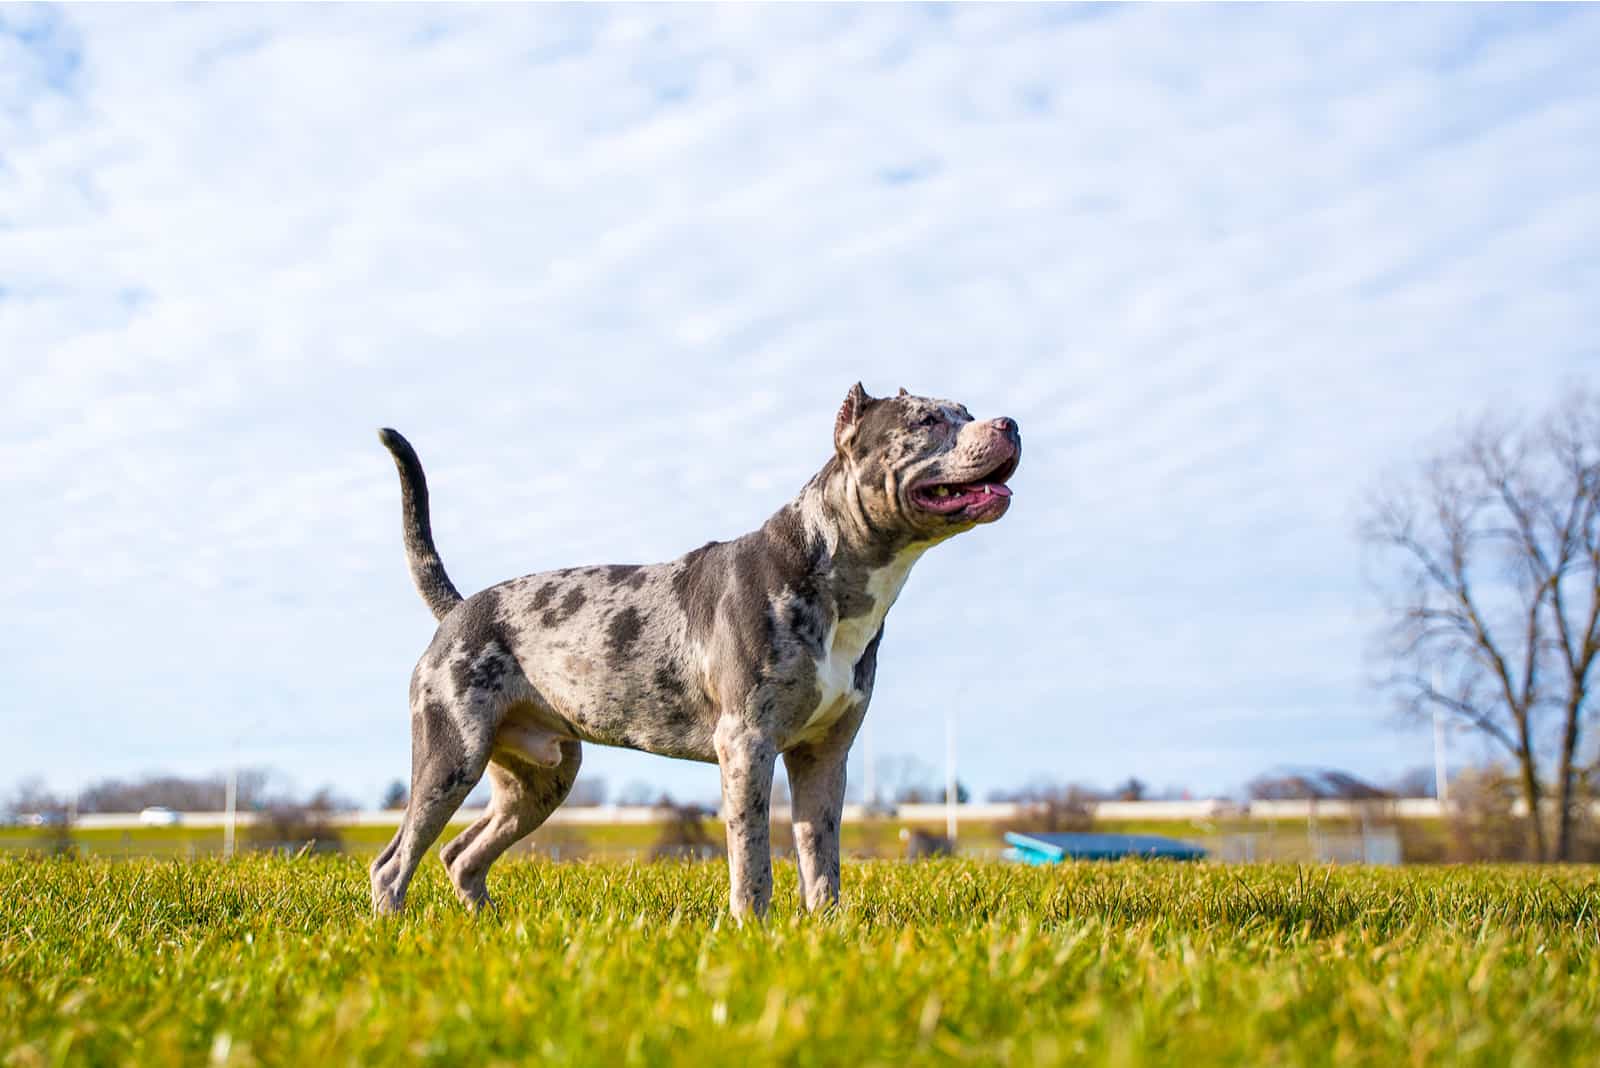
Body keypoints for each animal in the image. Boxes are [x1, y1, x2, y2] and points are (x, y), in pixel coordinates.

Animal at [368, 383, 1017, 920]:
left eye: (966, 411)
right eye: (928, 420)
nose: (1009, 423)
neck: (832, 568)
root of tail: (458, 610)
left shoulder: (824, 754)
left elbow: (821, 858)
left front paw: (828, 930)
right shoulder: (747, 743)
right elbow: (752, 857)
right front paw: (752, 928)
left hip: (540, 779)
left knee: (461, 855)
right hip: (451, 756)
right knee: (393, 862)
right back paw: (393, 930)